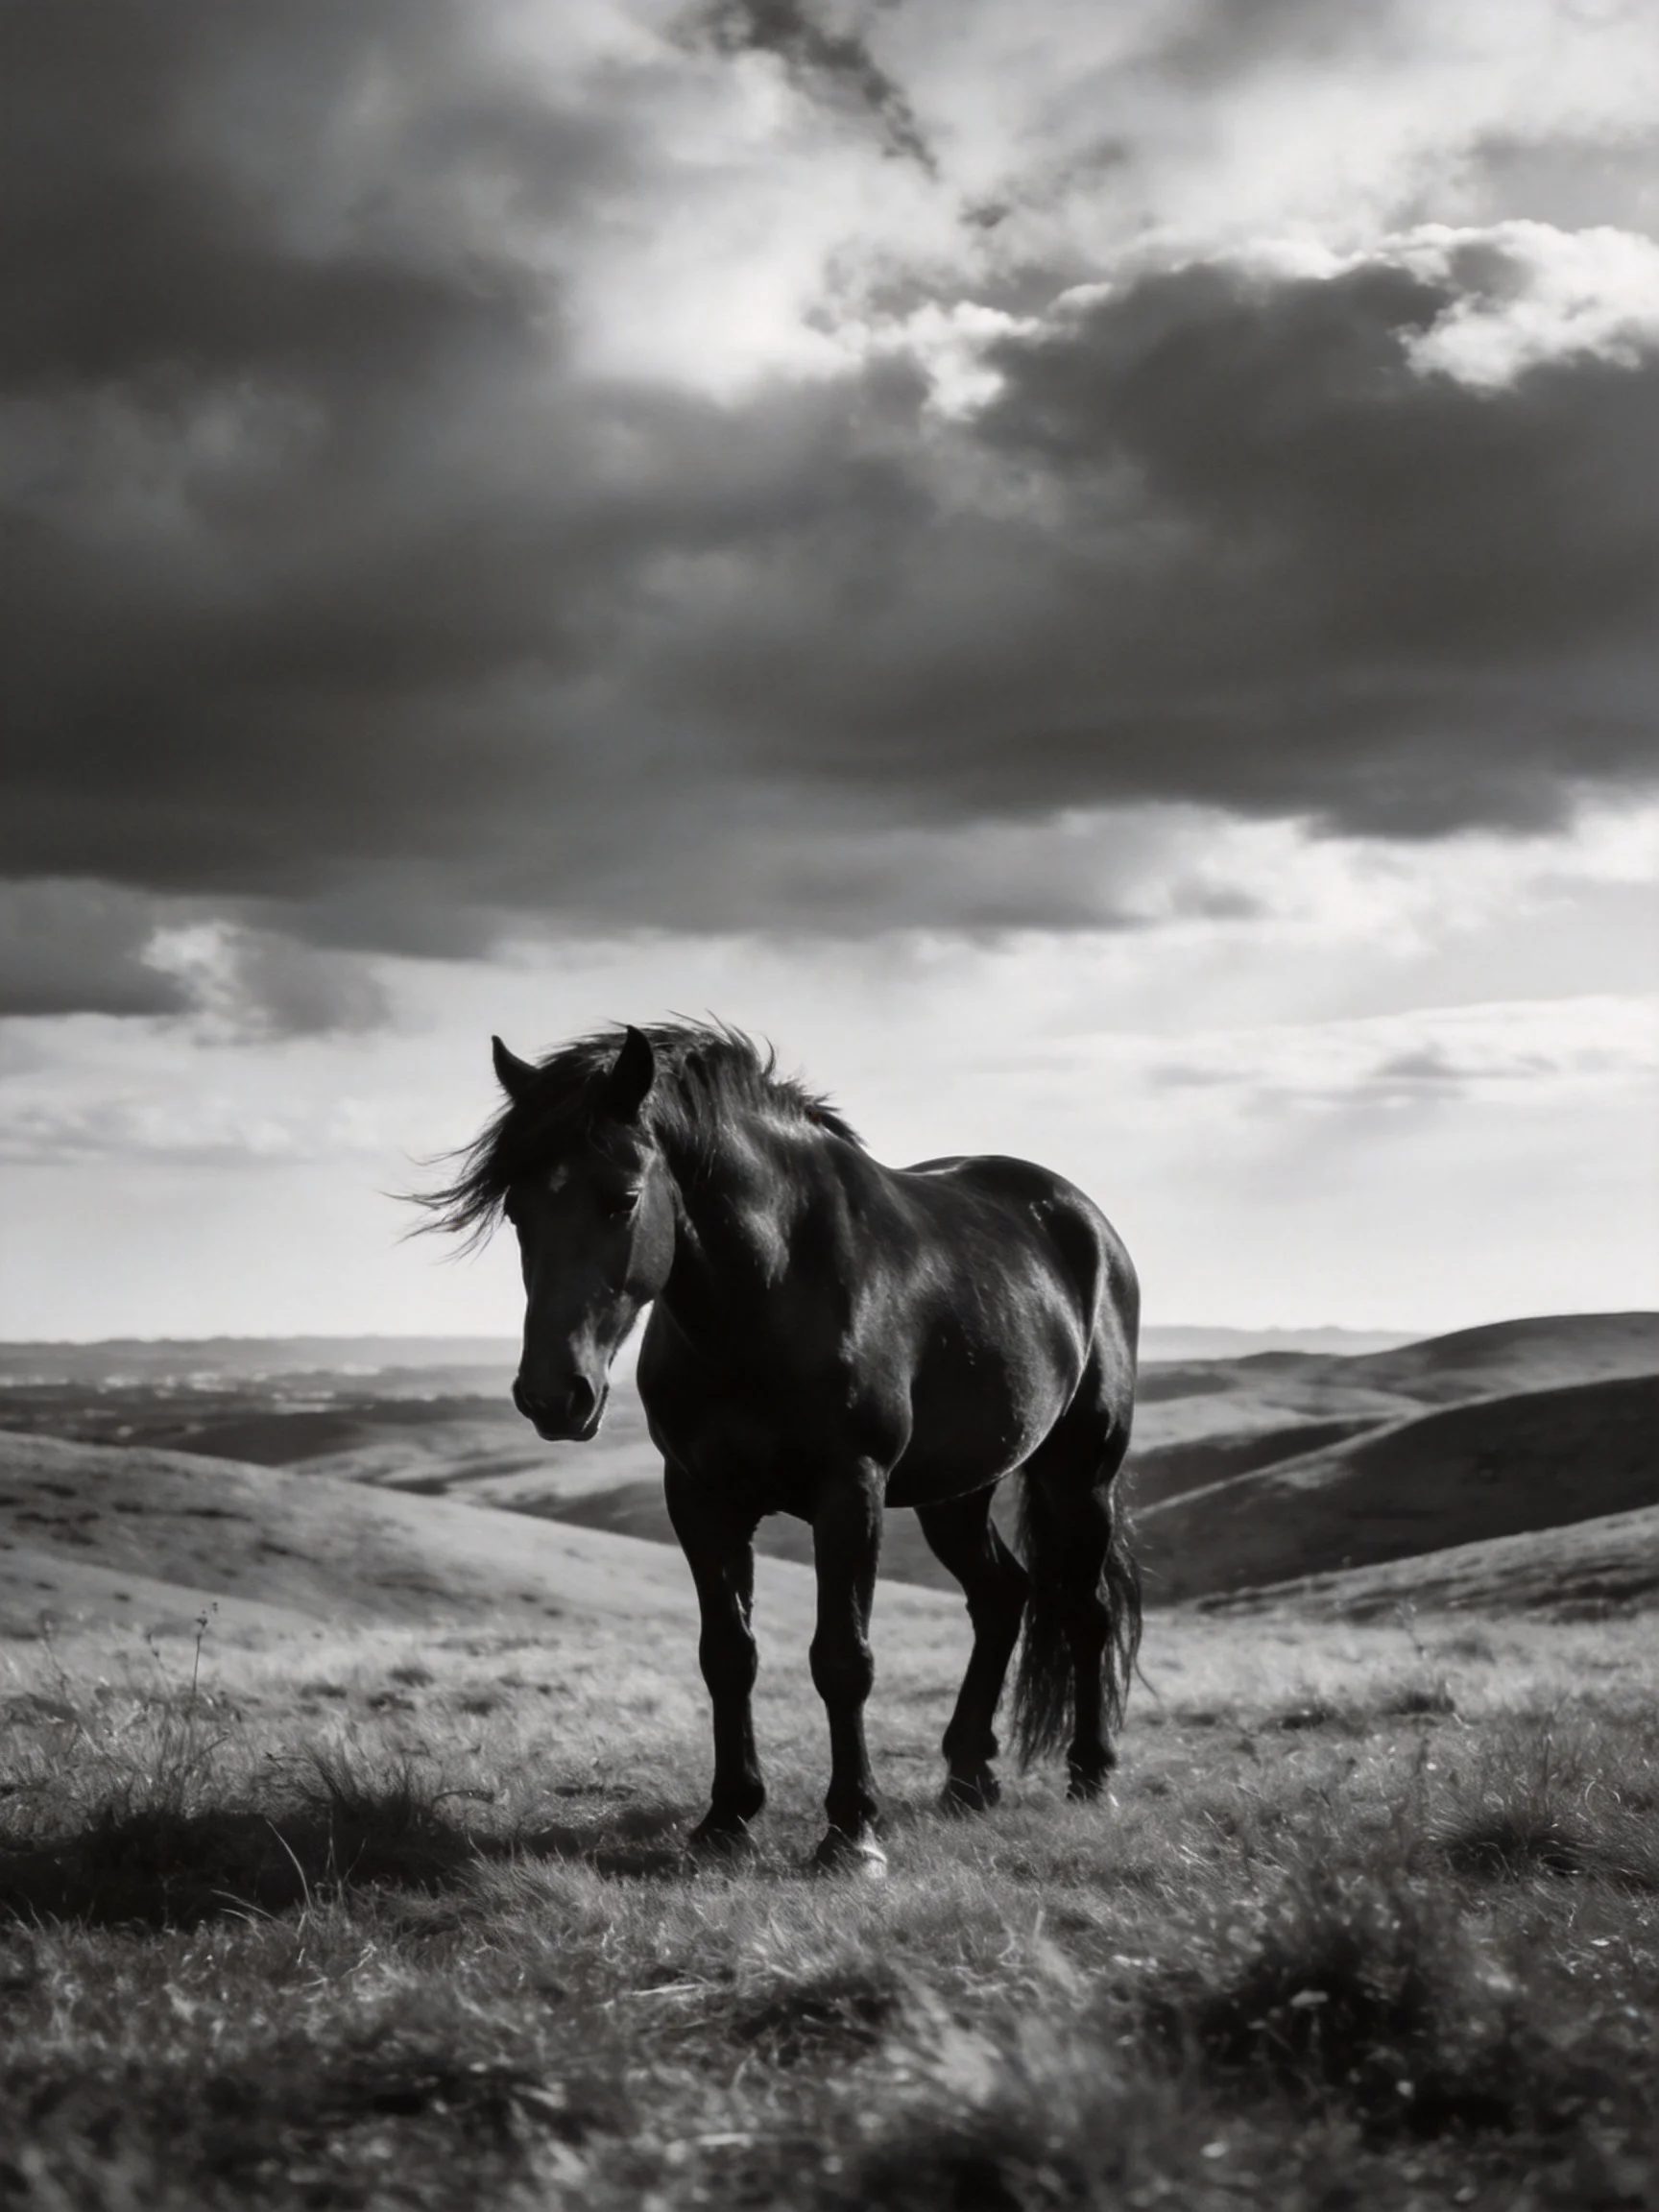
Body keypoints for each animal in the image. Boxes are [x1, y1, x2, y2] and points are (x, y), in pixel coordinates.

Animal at [419, 1021, 1140, 1876]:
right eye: (518, 1211)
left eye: (622, 1199)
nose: (552, 1397)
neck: (775, 1287)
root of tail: (1082, 1220)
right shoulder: (700, 1499)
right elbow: (728, 1655)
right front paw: (727, 1817)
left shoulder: (850, 1492)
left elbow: (842, 1660)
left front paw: (853, 1833)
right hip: (956, 1492)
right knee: (1002, 1597)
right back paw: (968, 1777)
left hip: (1080, 1475)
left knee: (1086, 1612)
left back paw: (1092, 1777)